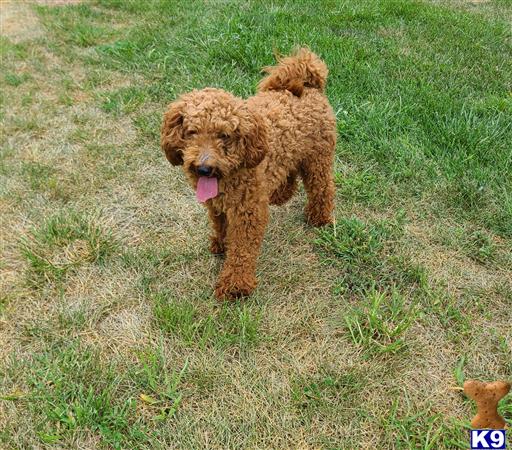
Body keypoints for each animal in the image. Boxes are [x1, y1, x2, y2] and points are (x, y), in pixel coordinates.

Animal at [161, 48, 336, 298]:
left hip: (317, 158)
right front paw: (221, 246)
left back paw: (319, 217)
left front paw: (235, 285)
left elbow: (242, 249)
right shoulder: (217, 206)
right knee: (289, 173)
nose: (204, 168)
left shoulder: (247, 212)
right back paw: (280, 194)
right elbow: (222, 228)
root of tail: (309, 85)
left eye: (224, 135)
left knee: (322, 187)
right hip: (291, 153)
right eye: (191, 132)